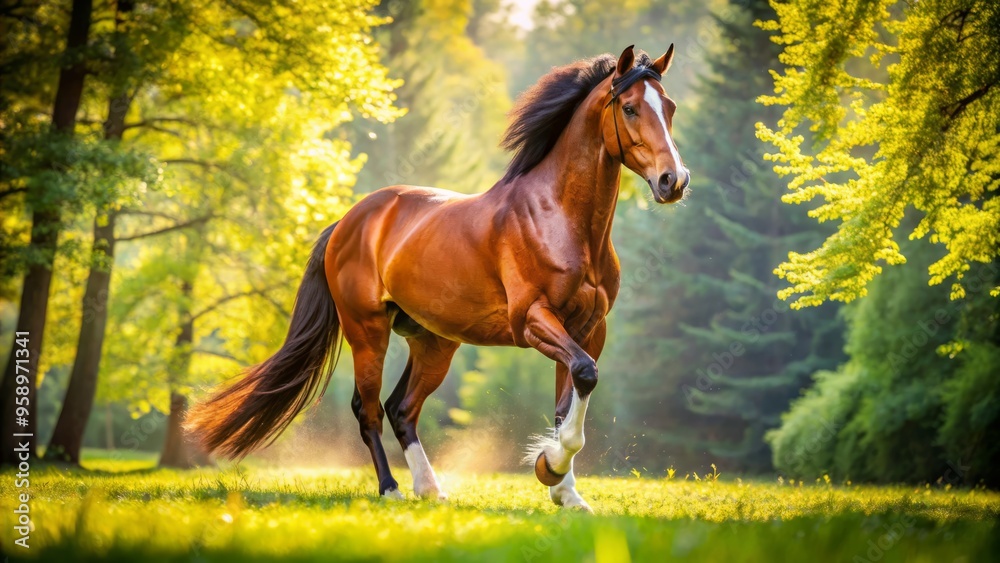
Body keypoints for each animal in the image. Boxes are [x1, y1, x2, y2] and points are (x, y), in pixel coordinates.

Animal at [186, 44, 690, 511]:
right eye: (630, 107)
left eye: (668, 107)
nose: (674, 181)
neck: (561, 220)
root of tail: (347, 222)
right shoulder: (533, 320)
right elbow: (584, 377)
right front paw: (550, 467)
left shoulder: (588, 328)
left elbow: (569, 400)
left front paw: (564, 490)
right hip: (367, 331)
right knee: (368, 410)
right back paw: (391, 490)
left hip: (434, 342)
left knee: (401, 409)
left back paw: (431, 489)